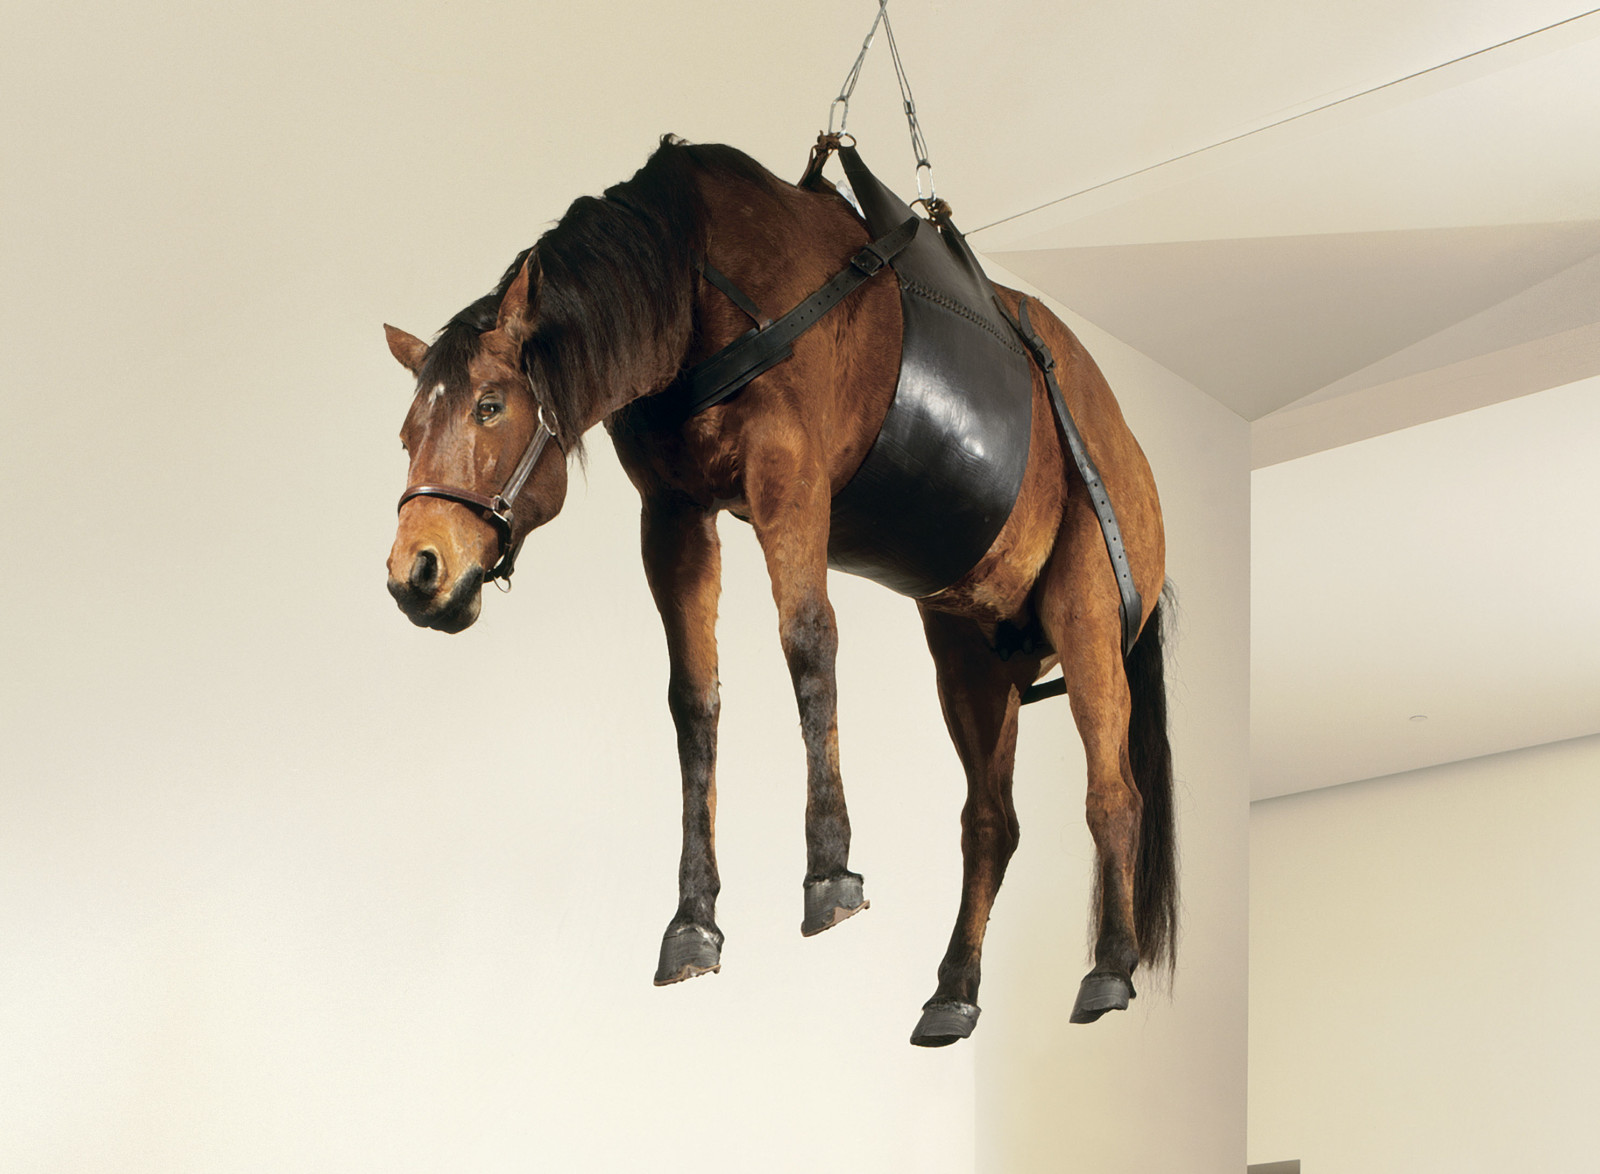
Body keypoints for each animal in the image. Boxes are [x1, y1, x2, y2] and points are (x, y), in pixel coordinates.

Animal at [382, 135, 1174, 1047]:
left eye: (489, 405)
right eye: (406, 432)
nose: (416, 571)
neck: (699, 277)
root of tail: (1127, 441)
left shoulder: (788, 480)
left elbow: (808, 646)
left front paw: (829, 871)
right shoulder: (675, 514)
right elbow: (693, 700)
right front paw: (693, 920)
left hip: (1088, 616)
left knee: (1115, 794)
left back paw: (1109, 967)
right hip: (969, 652)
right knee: (990, 822)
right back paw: (953, 989)